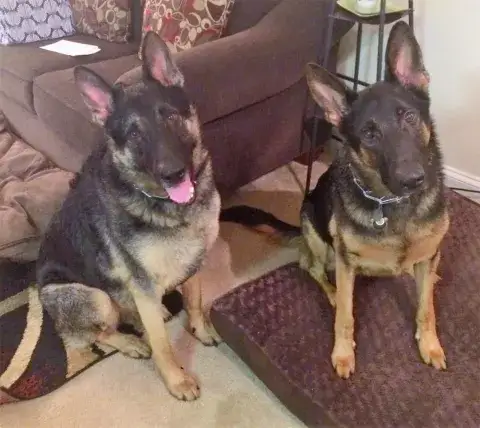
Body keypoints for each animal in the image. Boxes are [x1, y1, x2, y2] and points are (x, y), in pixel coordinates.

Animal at [36, 31, 221, 401]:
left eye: (170, 117)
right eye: (135, 134)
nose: (174, 174)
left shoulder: (195, 262)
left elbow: (194, 299)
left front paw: (200, 328)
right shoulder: (143, 284)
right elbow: (163, 344)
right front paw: (176, 380)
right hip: (92, 296)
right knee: (99, 333)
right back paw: (131, 341)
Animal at [220, 21, 449, 379]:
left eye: (409, 117)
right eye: (369, 134)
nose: (413, 179)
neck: (394, 207)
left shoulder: (428, 256)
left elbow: (427, 309)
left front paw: (430, 345)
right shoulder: (345, 262)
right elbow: (345, 313)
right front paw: (343, 354)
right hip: (317, 236)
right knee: (311, 268)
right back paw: (329, 290)